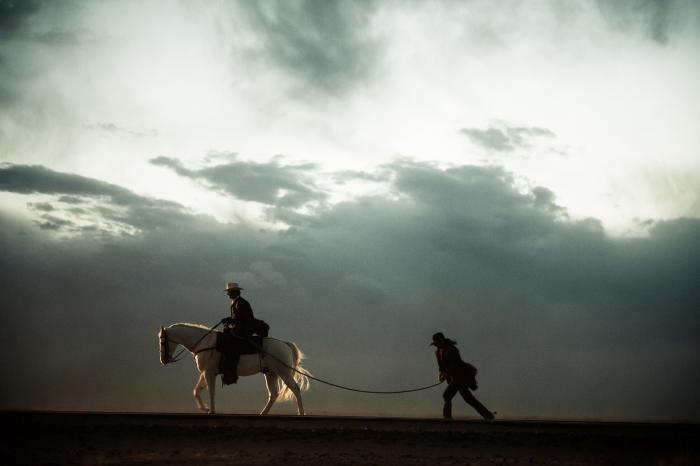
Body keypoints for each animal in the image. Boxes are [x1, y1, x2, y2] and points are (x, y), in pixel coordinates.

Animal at [161, 324, 312, 416]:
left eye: (162, 341)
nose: (164, 360)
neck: (205, 343)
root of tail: (284, 344)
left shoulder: (209, 373)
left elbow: (211, 391)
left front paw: (211, 410)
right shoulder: (206, 373)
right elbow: (197, 390)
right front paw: (205, 408)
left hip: (283, 372)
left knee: (295, 388)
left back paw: (301, 413)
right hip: (271, 373)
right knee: (273, 394)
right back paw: (262, 413)